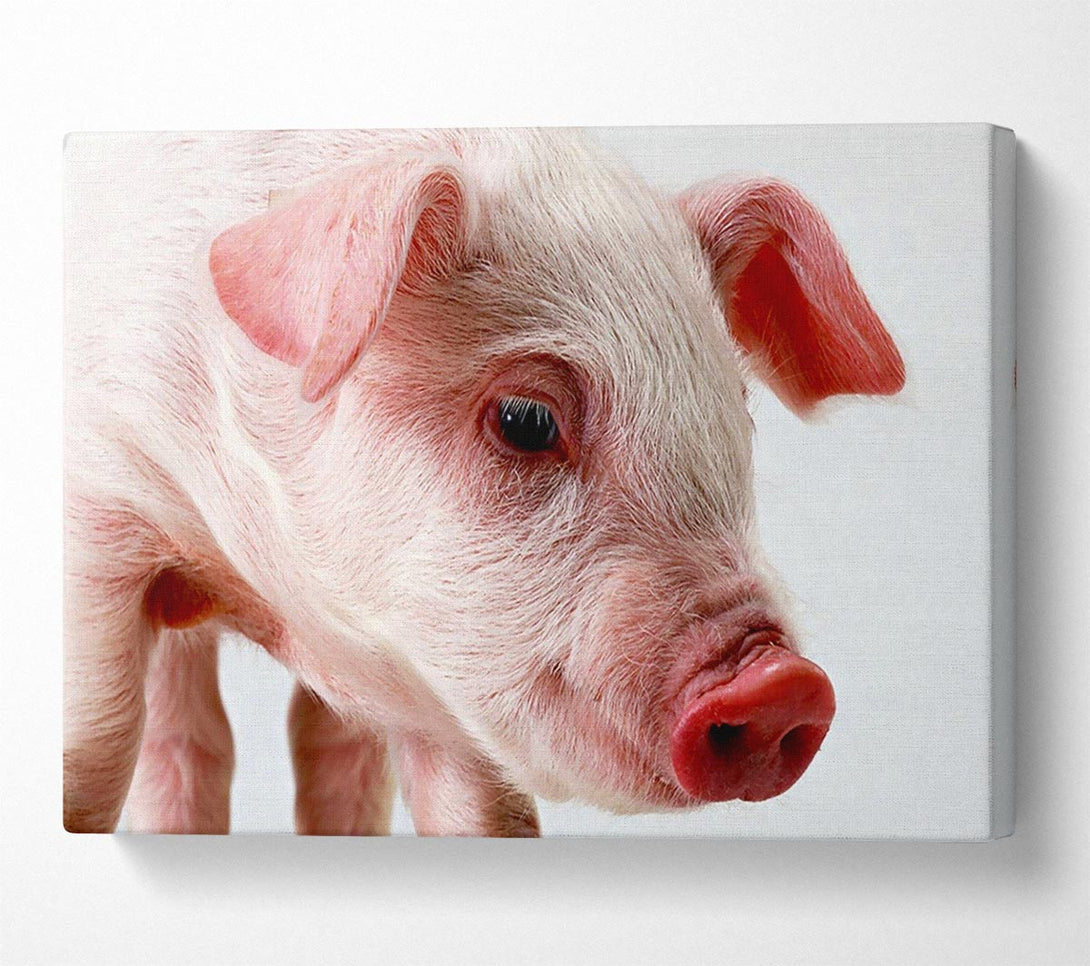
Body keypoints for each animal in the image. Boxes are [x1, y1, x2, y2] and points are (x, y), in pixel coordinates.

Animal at [63, 129, 904, 836]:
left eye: (738, 407)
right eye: (525, 419)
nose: (782, 684)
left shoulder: (440, 686)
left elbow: (480, 812)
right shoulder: (95, 506)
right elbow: (94, 742)